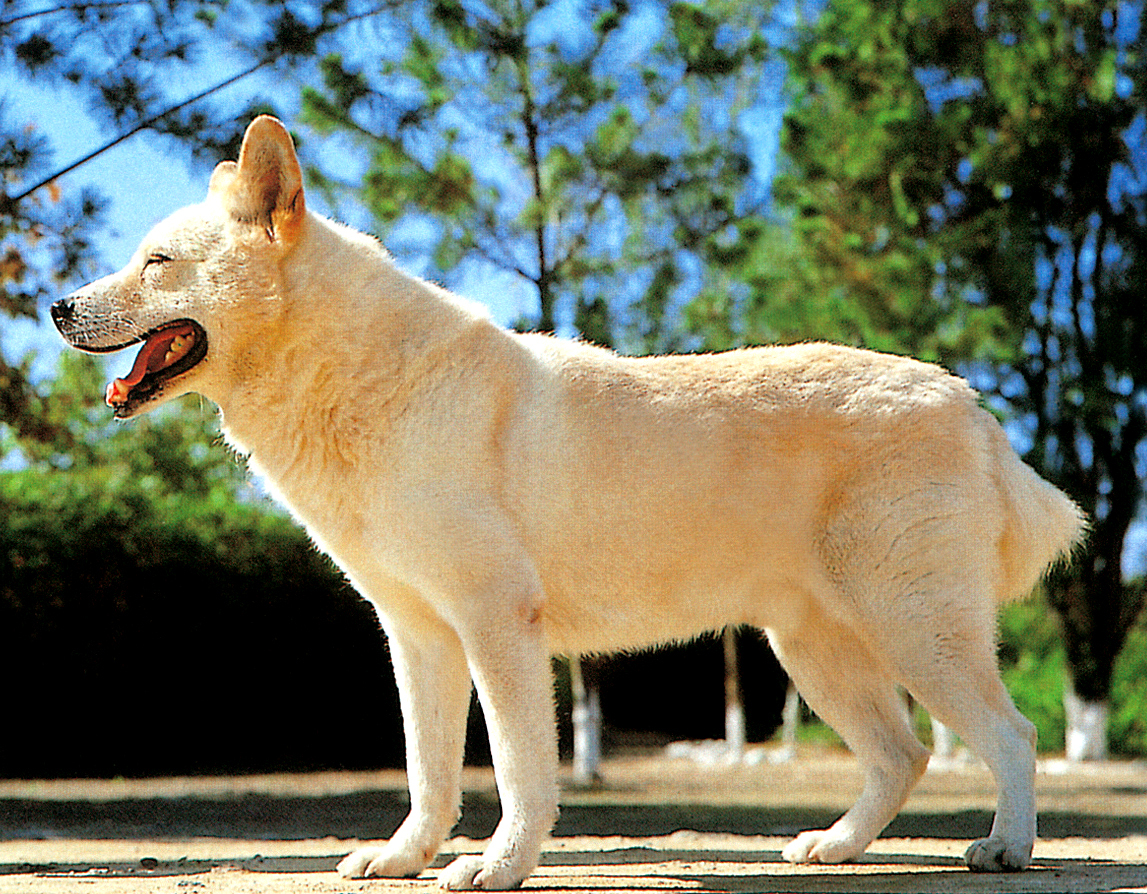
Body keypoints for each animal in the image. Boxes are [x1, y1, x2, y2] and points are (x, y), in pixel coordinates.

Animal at [51, 117, 1082, 885]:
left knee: (1012, 734)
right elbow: (428, 772)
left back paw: (1005, 848)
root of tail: (967, 403)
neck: (360, 382)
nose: (55, 309)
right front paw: (404, 859)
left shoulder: (496, 623)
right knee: (905, 756)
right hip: (815, 653)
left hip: (913, 632)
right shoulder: (417, 636)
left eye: (157, 262)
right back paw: (833, 847)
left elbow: (516, 767)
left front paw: (496, 867)